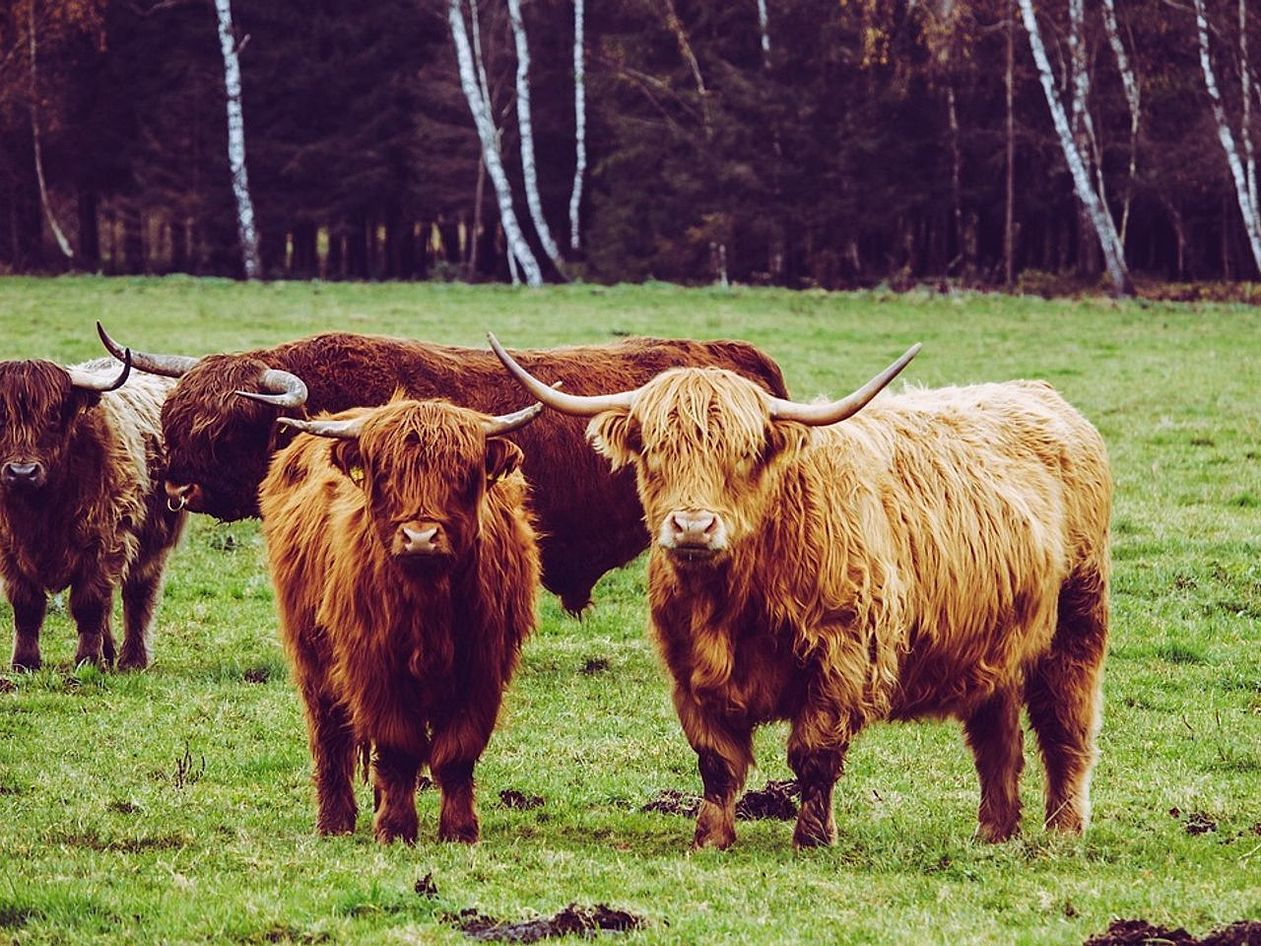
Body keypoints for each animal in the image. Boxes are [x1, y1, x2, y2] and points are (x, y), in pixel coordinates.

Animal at [0, 352, 187, 670]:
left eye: (53, 416)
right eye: (0, 416)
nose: (21, 473)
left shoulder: (105, 540)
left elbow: (89, 604)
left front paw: (87, 660)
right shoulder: (9, 550)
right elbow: (26, 605)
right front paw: (24, 663)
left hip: (153, 542)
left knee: (138, 594)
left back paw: (133, 659)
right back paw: (109, 653)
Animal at [257, 396, 542, 844]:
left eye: (460, 474)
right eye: (386, 474)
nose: (420, 538)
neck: (428, 600)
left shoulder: (483, 667)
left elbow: (457, 750)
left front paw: (460, 830)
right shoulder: (373, 664)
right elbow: (397, 745)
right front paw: (395, 828)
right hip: (311, 656)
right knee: (329, 736)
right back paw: (334, 822)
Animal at [489, 334, 1113, 850]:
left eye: (742, 454)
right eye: (656, 452)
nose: (692, 526)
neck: (735, 599)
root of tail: (1040, 395)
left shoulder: (844, 656)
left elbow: (813, 753)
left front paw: (812, 837)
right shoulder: (687, 668)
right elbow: (716, 760)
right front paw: (711, 837)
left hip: (1078, 618)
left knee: (1065, 725)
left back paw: (1063, 829)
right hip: (995, 641)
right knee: (997, 737)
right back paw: (994, 831)